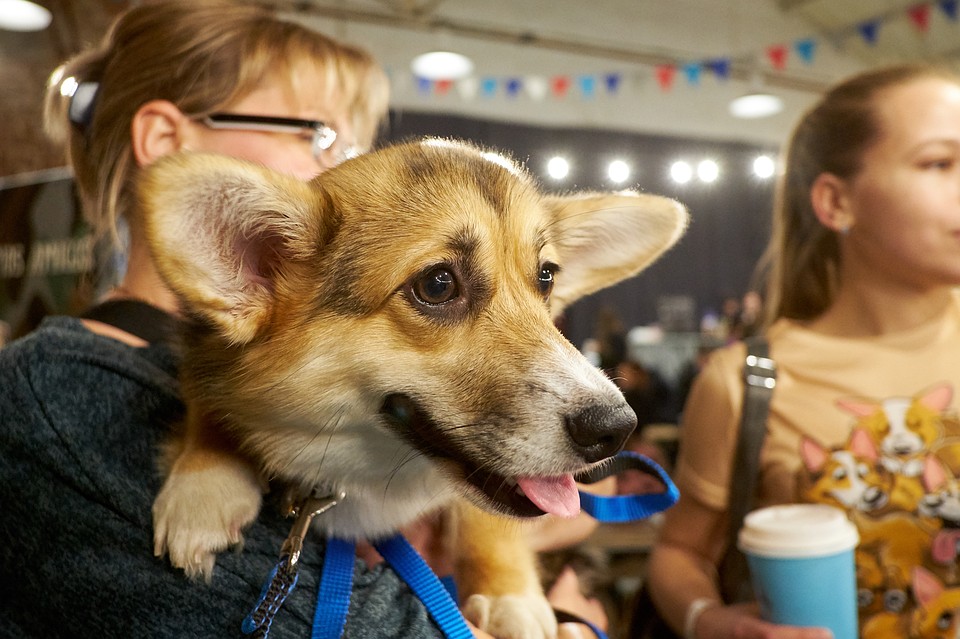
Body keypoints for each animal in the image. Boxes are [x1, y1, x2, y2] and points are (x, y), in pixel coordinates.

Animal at [139, 138, 688, 636]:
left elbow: (486, 518)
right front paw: (202, 492)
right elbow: (209, 409)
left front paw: (510, 595)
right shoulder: (203, 357)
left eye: (547, 277)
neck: (367, 465)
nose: (617, 430)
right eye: (438, 285)